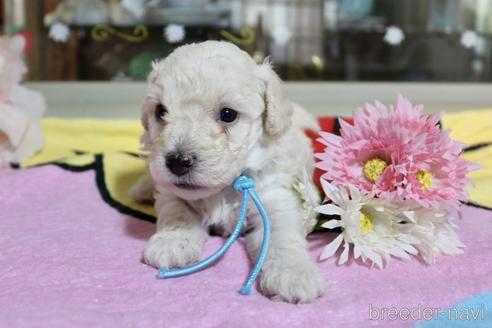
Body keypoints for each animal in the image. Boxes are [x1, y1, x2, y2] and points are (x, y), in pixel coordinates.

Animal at [134, 41, 326, 304]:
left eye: (228, 114)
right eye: (161, 111)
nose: (177, 162)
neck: (226, 187)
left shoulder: (276, 199)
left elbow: (281, 235)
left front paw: (294, 274)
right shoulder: (170, 191)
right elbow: (176, 212)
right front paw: (171, 242)